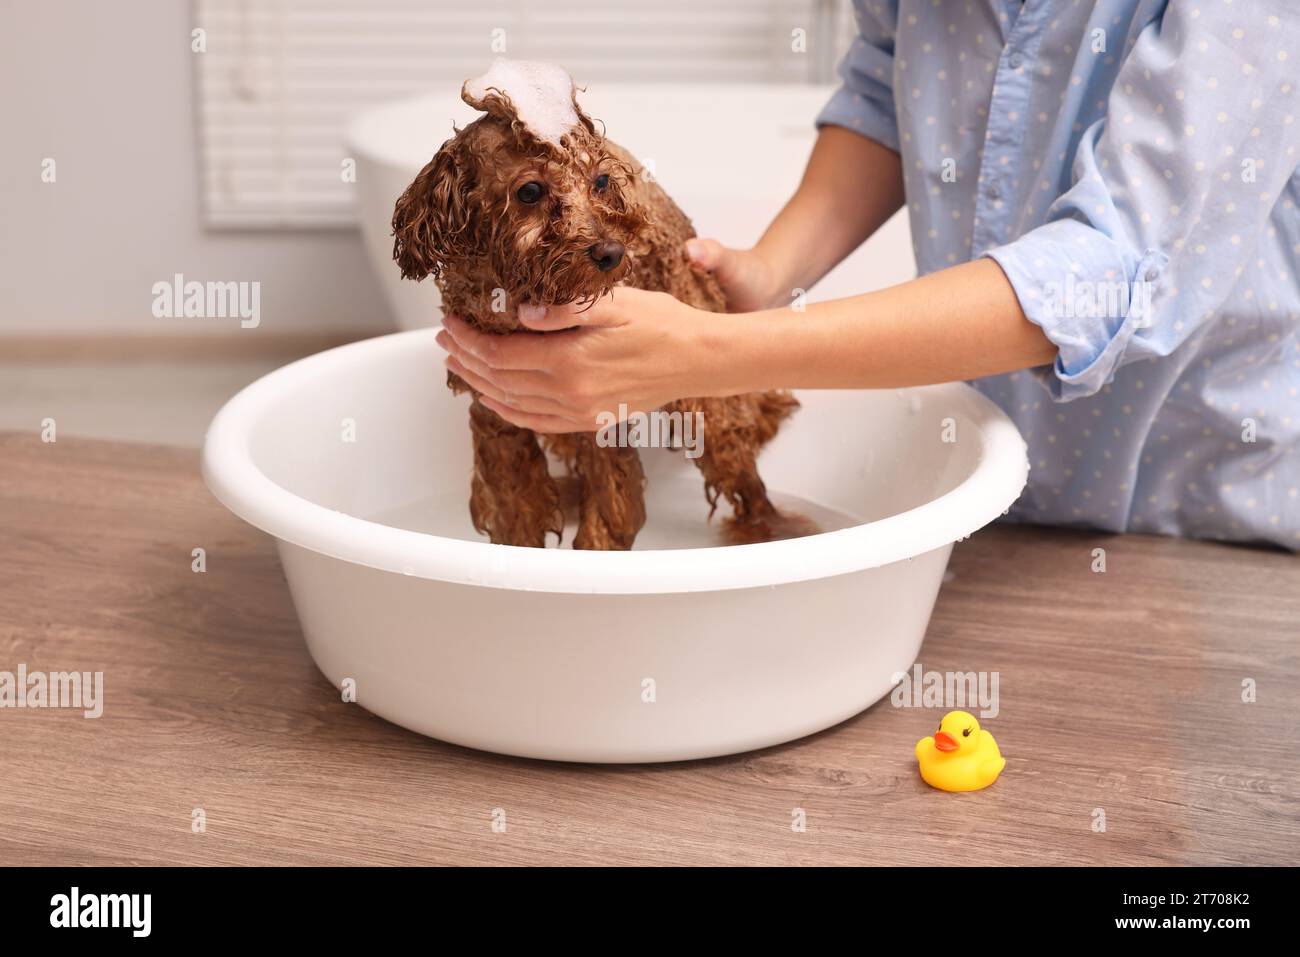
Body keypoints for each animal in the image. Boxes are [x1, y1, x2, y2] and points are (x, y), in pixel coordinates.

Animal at [390, 61, 795, 553]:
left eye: (600, 183)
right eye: (530, 191)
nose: (611, 252)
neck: (515, 297)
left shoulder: (597, 416)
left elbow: (607, 514)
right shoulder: (497, 424)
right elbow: (515, 516)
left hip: (707, 398)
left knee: (744, 473)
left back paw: (768, 530)